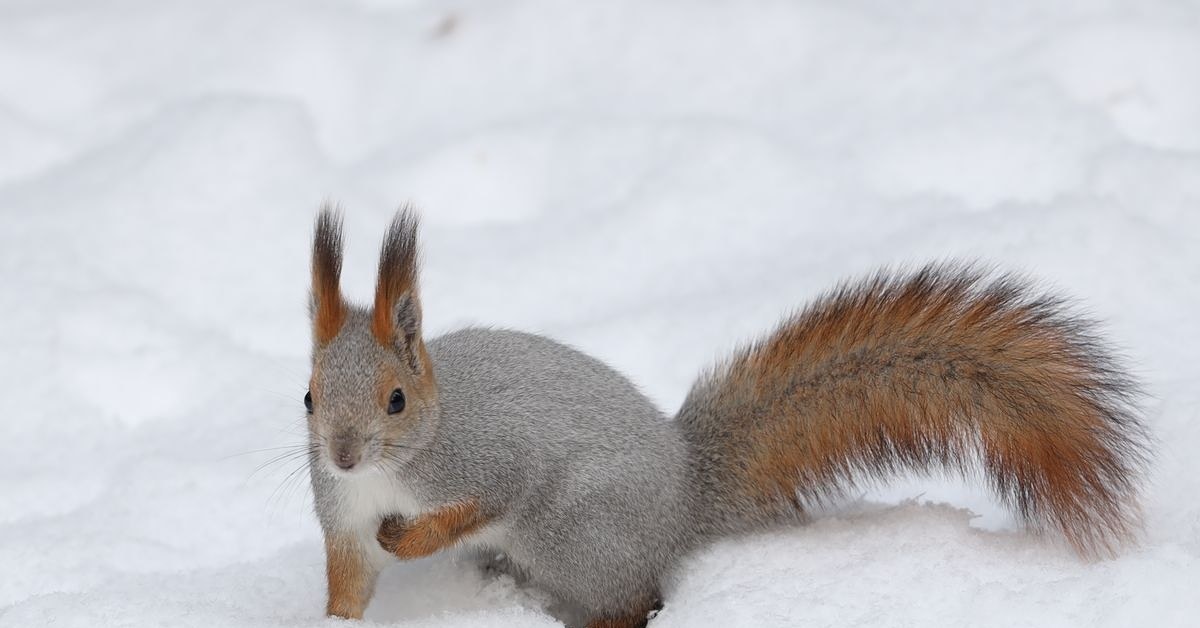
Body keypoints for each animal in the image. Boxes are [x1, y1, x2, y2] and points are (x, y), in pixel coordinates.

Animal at [304, 207, 1147, 628]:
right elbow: (349, 578)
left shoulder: (492, 458)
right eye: (308, 396)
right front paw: (335, 620)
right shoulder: (339, 516)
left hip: (577, 531)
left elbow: (484, 499)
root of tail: (685, 493)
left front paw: (412, 538)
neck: (389, 470)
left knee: (633, 600)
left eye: (396, 400)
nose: (341, 455)